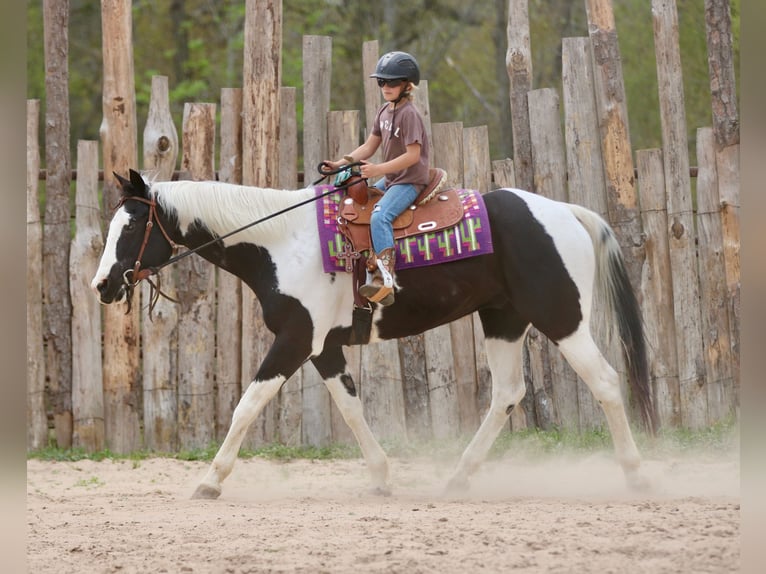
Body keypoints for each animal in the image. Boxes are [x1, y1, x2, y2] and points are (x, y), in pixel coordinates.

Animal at [92, 169, 656, 499]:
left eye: (131, 224)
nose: (101, 285)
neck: (280, 242)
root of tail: (566, 213)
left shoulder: (295, 340)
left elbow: (248, 404)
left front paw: (210, 480)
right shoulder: (323, 348)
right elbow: (350, 407)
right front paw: (382, 477)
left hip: (562, 318)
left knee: (606, 382)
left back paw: (635, 474)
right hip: (504, 320)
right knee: (508, 394)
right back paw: (458, 477)